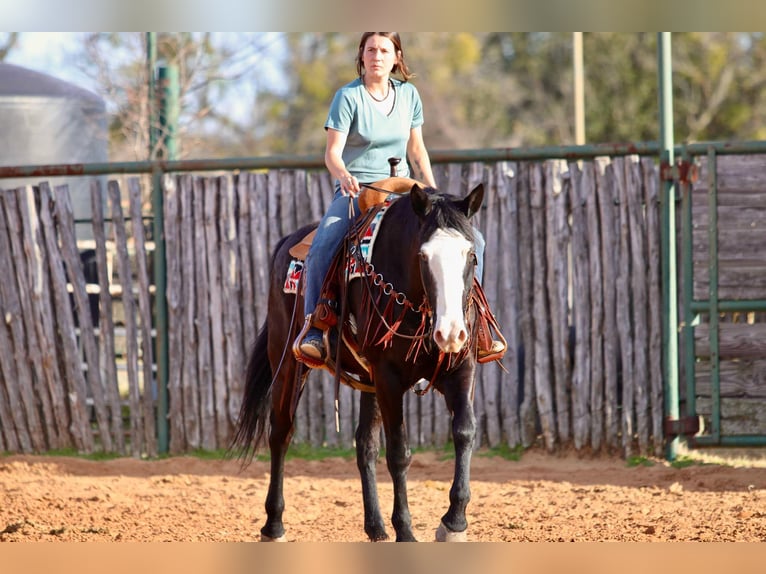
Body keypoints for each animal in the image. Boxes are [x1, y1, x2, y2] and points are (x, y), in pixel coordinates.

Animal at [232, 182, 486, 544]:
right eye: (423, 256)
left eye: (471, 255)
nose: (450, 331)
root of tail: (287, 243)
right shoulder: (389, 378)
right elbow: (399, 453)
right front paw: (406, 530)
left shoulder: (459, 369)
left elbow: (464, 432)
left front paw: (454, 522)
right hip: (288, 362)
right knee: (281, 432)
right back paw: (274, 526)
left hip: (368, 382)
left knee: (364, 443)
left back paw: (376, 527)